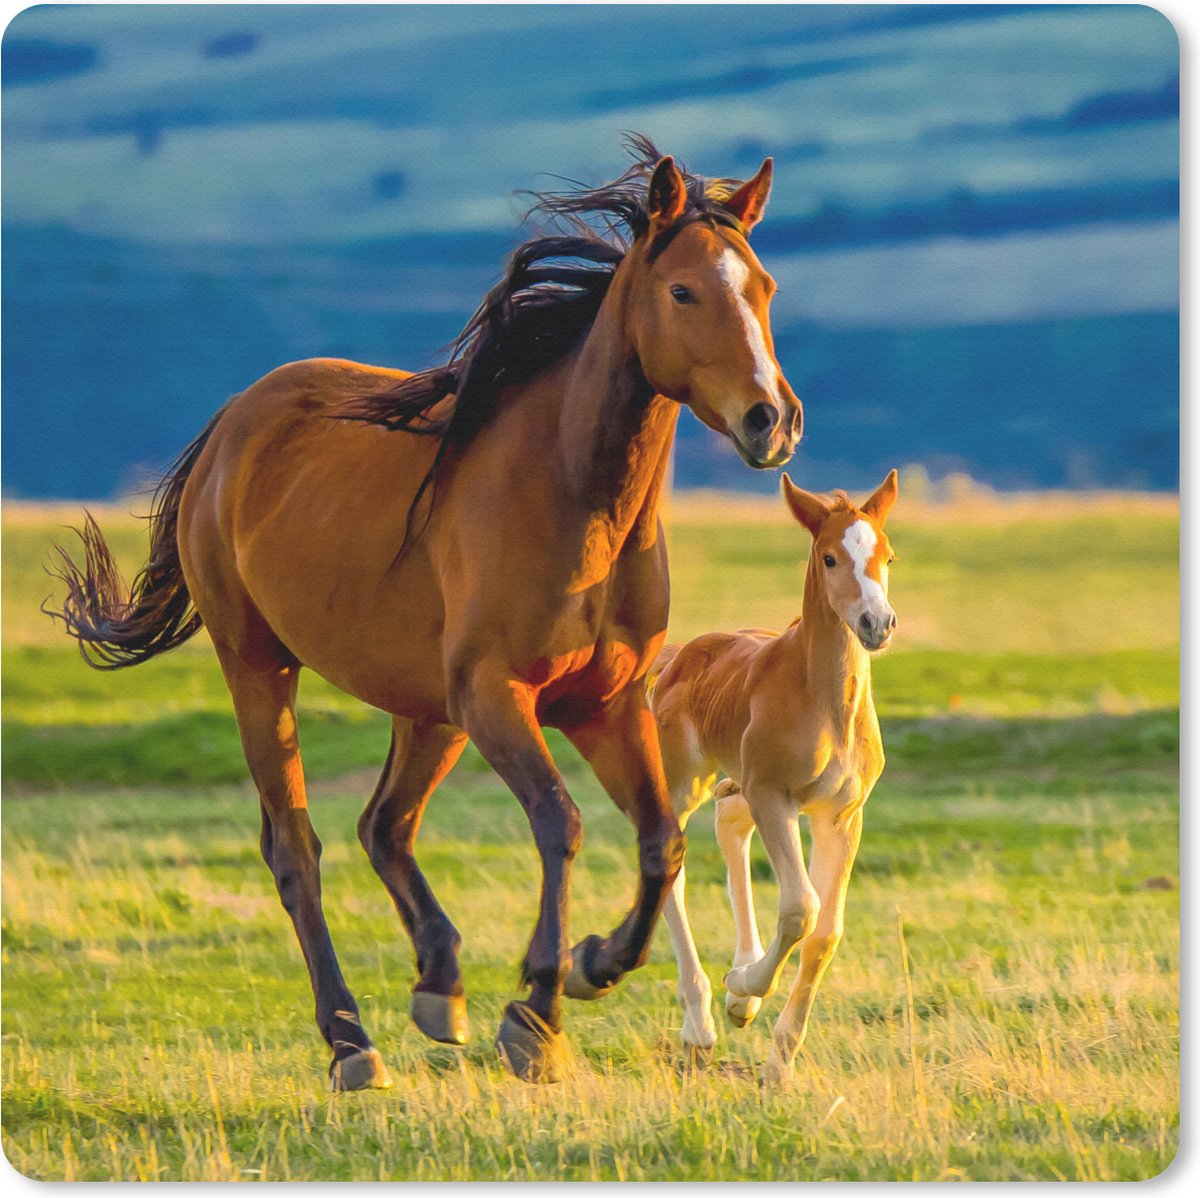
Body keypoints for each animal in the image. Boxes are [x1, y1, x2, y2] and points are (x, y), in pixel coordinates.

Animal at [47, 136, 803, 1086]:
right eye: (683, 291)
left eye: (765, 287)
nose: (772, 421)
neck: (573, 499)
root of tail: (232, 425)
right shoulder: (498, 696)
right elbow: (559, 823)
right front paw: (536, 1012)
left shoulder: (604, 704)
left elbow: (660, 841)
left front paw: (591, 965)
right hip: (262, 667)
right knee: (296, 848)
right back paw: (350, 1041)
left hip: (426, 710)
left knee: (385, 826)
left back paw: (440, 986)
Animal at [648, 470, 897, 1083]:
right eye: (830, 557)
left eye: (888, 556)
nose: (877, 624)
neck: (824, 703)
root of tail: (678, 656)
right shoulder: (774, 796)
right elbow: (800, 908)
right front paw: (743, 987)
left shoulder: (841, 815)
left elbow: (825, 931)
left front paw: (778, 1060)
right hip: (684, 781)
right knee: (671, 861)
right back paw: (702, 1023)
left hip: (738, 784)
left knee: (729, 824)